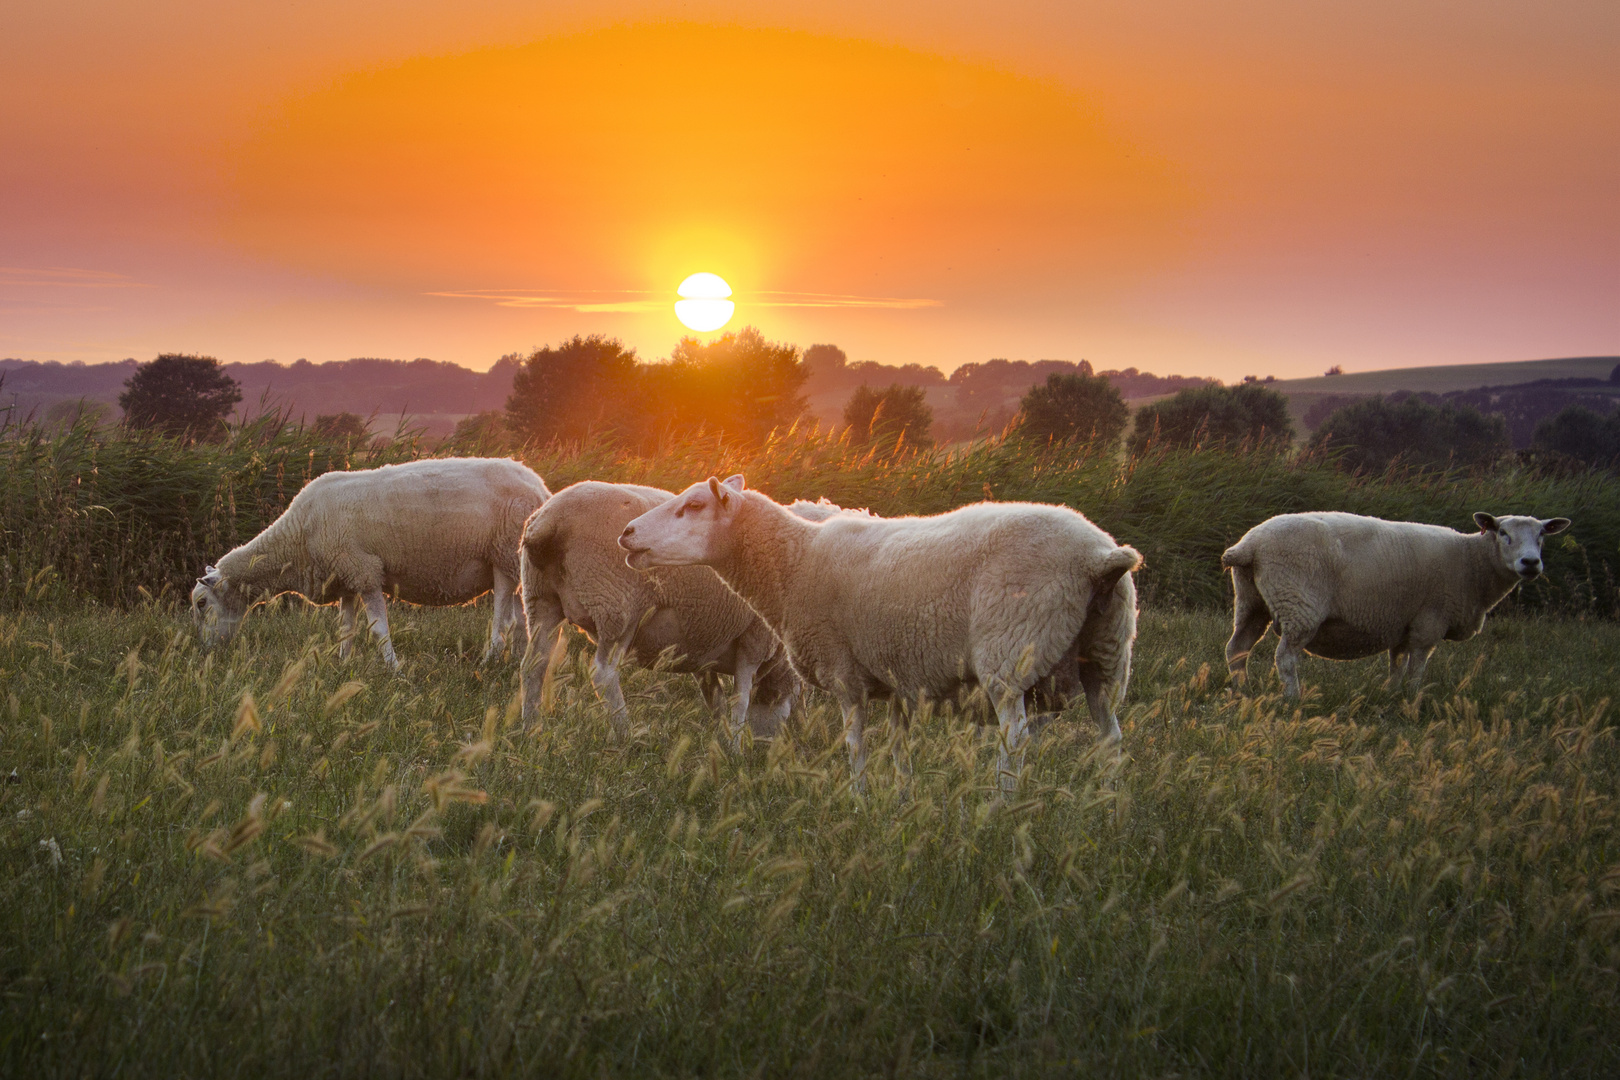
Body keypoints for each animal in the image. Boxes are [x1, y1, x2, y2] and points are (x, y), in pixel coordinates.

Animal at [189, 456, 550, 667]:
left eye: (201, 603)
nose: (205, 651)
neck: (296, 542)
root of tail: (541, 488)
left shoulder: (364, 571)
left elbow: (377, 629)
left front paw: (393, 668)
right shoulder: (344, 577)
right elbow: (345, 629)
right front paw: (343, 664)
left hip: (504, 555)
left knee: (504, 623)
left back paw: (488, 663)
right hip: (516, 566)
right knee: (525, 624)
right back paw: (523, 666)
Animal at [521, 485, 874, 738]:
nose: (767, 745)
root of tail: (549, 520)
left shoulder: (703, 648)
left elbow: (715, 698)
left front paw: (720, 736)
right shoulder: (753, 639)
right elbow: (741, 697)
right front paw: (735, 744)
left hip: (540, 600)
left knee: (534, 666)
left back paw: (530, 727)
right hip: (617, 607)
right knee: (603, 674)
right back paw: (625, 734)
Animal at [615, 476, 1140, 790]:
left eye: (694, 505)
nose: (626, 533)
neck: (795, 561)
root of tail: (1099, 557)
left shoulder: (844, 671)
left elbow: (856, 745)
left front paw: (859, 798)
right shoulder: (897, 678)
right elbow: (899, 748)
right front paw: (901, 801)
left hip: (1010, 656)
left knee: (1016, 740)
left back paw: (998, 811)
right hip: (1107, 655)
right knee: (1111, 737)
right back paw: (1108, 810)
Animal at [1218, 508, 1574, 696]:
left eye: (1542, 535)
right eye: (1502, 533)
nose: (1531, 563)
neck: (1472, 561)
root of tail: (1249, 545)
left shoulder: (1404, 622)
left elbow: (1397, 664)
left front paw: (1389, 695)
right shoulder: (1430, 620)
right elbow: (1417, 667)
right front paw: (1413, 700)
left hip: (1251, 602)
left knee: (1237, 648)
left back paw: (1243, 691)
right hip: (1298, 606)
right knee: (1285, 658)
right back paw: (1294, 698)